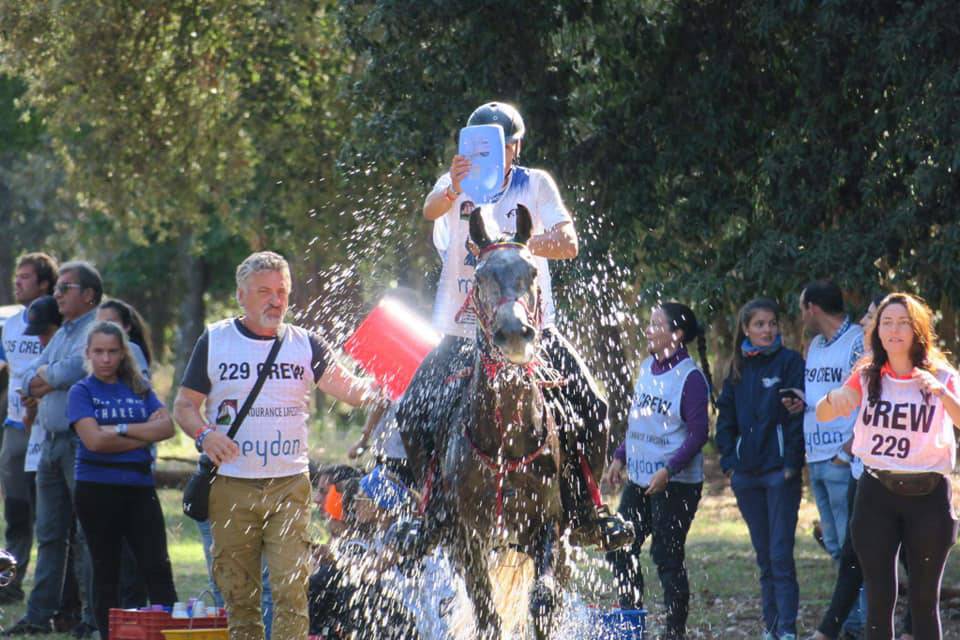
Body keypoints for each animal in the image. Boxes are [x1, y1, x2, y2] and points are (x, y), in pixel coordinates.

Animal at [436, 206, 568, 640]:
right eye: (480, 277)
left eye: (531, 271)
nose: (513, 333)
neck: (506, 438)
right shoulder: (468, 536)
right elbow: (486, 611)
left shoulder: (549, 523)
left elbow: (543, 600)